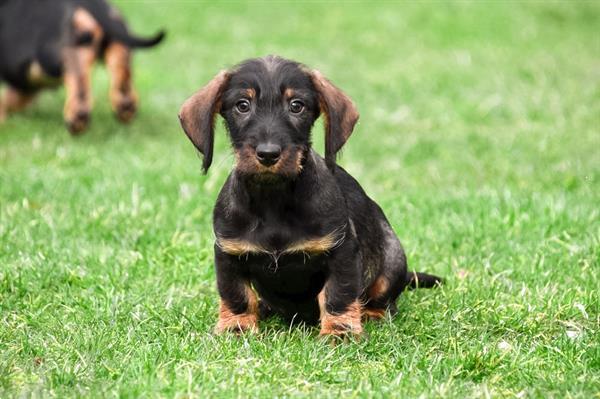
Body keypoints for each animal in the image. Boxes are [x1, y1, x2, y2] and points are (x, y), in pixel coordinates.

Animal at [0, 0, 164, 134]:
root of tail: (89, 3)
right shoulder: (25, 87)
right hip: (115, 33)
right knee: (120, 64)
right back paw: (125, 105)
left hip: (59, 50)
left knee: (78, 78)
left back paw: (77, 117)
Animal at [178, 56, 440, 338]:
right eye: (242, 105)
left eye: (296, 106)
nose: (268, 154)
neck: (274, 199)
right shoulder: (229, 252)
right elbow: (237, 295)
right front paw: (236, 326)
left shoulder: (342, 251)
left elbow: (338, 294)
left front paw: (340, 331)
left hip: (392, 259)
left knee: (383, 298)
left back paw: (372, 313)